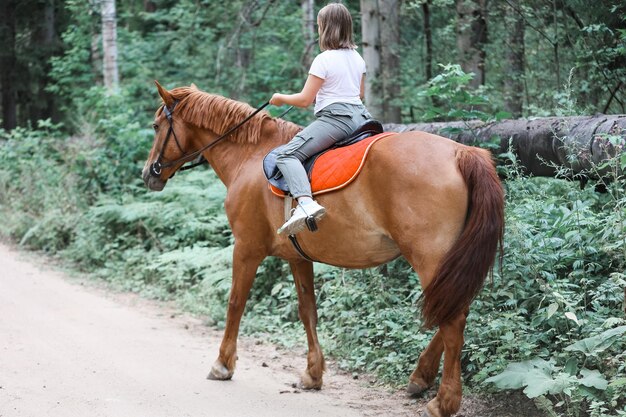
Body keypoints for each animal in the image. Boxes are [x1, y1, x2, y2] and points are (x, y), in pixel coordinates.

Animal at [141, 81, 502, 416]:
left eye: (157, 126)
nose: (148, 173)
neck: (250, 155)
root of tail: (462, 153)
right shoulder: (298, 257)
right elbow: (308, 310)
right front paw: (313, 374)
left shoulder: (246, 247)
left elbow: (235, 303)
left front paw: (223, 364)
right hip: (452, 261)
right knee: (455, 307)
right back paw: (420, 377)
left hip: (430, 258)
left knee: (452, 318)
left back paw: (444, 401)